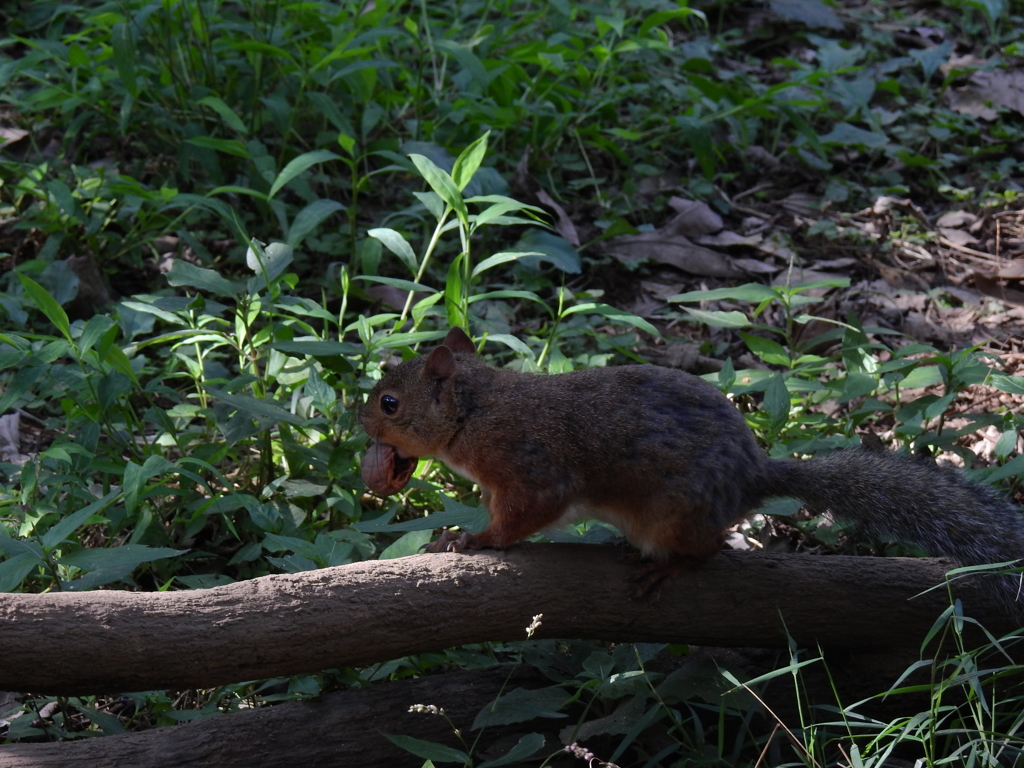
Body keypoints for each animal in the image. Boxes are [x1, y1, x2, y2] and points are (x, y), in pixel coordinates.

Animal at [360, 325, 1024, 614]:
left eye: (390, 402)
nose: (362, 424)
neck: (478, 409)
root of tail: (754, 478)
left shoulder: (530, 466)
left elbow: (523, 515)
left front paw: (473, 538)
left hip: (675, 515)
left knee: (710, 550)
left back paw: (669, 567)